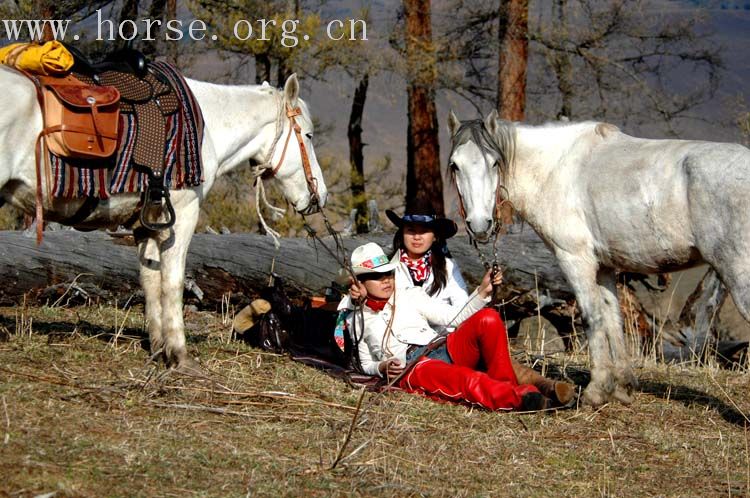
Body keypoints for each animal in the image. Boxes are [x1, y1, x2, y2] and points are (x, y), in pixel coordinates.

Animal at [0, 64, 328, 368]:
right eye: (309, 135)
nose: (320, 195)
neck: (208, 125)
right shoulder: (182, 215)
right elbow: (173, 282)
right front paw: (180, 355)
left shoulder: (147, 224)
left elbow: (150, 281)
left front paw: (159, 348)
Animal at [450, 111, 750, 406]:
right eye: (455, 165)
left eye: (494, 163)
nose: (480, 225)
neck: (553, 170)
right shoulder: (605, 267)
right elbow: (612, 317)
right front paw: (622, 388)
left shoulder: (575, 259)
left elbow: (591, 317)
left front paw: (595, 392)